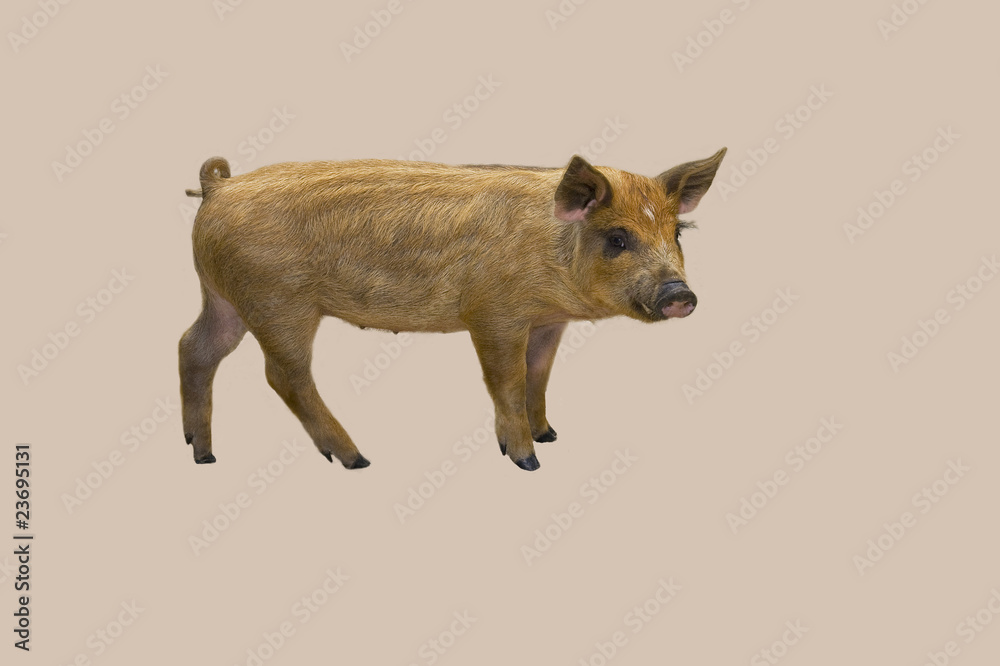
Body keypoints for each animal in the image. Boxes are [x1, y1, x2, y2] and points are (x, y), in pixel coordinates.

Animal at [179, 148, 726, 471]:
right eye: (617, 238)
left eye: (676, 233)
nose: (680, 295)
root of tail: (218, 187)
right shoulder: (494, 314)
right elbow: (507, 380)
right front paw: (527, 461)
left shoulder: (548, 321)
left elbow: (539, 374)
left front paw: (550, 435)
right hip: (278, 301)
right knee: (283, 375)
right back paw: (357, 459)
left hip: (223, 297)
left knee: (194, 347)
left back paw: (202, 454)